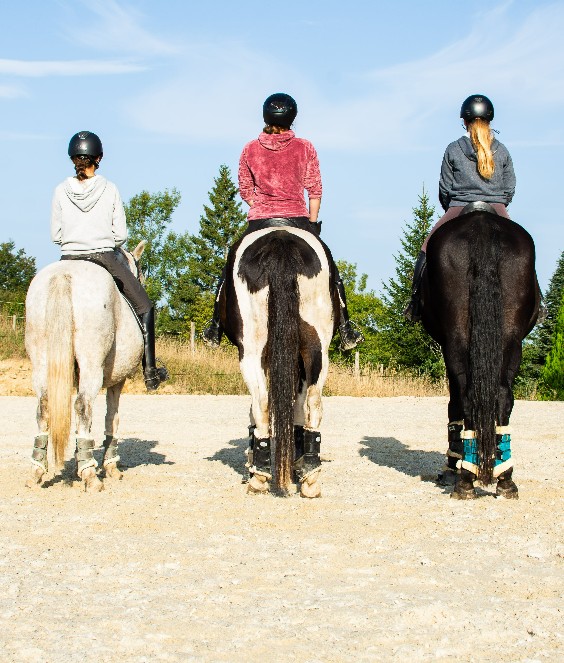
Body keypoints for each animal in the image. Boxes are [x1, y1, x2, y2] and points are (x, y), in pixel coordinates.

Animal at [25, 244, 147, 492]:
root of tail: (63, 276)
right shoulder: (117, 381)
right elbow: (112, 418)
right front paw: (109, 466)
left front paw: (78, 465)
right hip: (92, 363)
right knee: (82, 407)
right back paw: (91, 477)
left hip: (41, 362)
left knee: (45, 407)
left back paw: (37, 472)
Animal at [218, 228, 338, 498]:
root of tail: (280, 240)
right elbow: (298, 409)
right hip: (317, 348)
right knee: (313, 403)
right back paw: (310, 477)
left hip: (251, 352)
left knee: (261, 404)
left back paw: (260, 477)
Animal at [420, 205, 540, 500]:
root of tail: (483, 226)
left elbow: (453, 405)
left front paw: (453, 463)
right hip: (510, 341)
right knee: (502, 398)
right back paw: (503, 476)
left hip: (457, 341)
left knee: (465, 398)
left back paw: (466, 477)